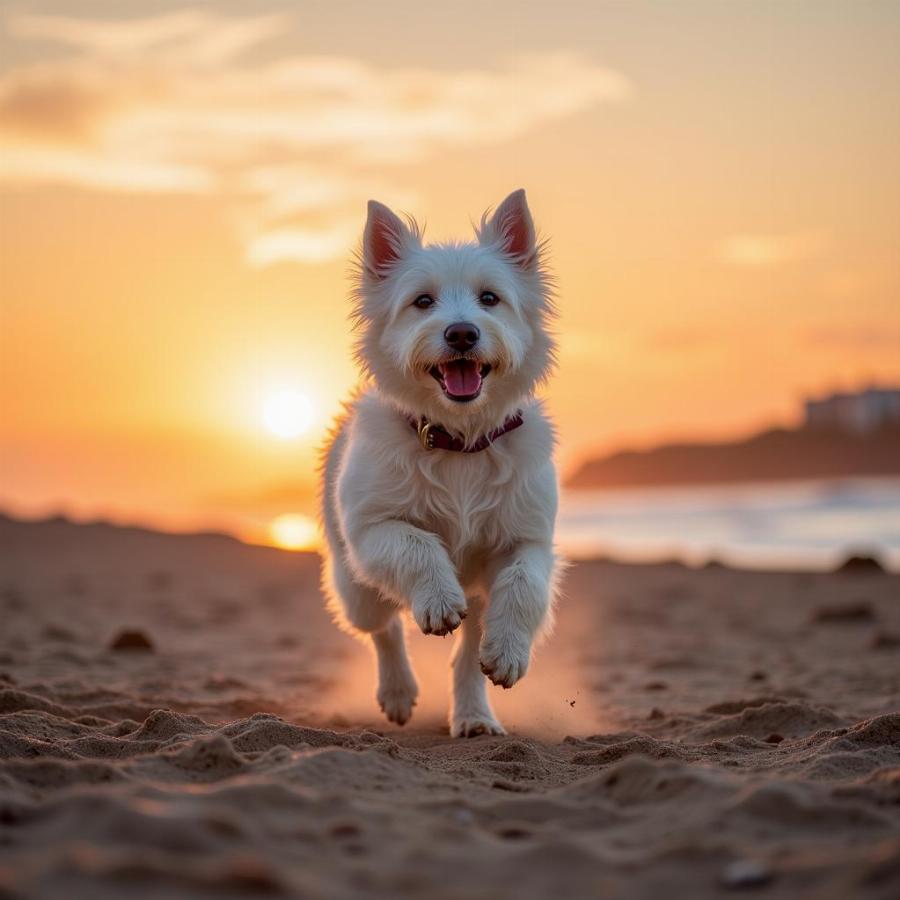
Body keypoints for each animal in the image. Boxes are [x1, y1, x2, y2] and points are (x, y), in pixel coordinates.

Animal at [324, 190, 560, 740]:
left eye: (490, 298)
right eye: (423, 301)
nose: (461, 334)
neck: (460, 442)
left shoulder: (528, 539)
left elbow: (525, 583)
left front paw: (510, 651)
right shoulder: (373, 529)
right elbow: (416, 544)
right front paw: (435, 598)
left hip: (477, 593)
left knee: (468, 651)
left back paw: (475, 714)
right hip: (355, 586)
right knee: (383, 627)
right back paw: (397, 692)